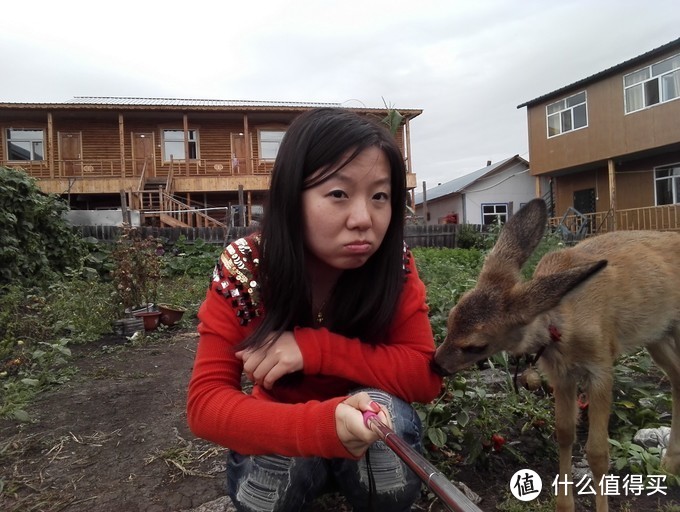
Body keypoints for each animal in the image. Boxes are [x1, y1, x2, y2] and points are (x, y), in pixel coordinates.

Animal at [432, 199, 676, 512]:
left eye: (476, 346)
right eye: (450, 319)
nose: (436, 364)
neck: (565, 326)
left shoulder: (601, 365)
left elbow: (597, 453)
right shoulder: (561, 375)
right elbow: (563, 433)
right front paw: (564, 504)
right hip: (657, 335)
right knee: (676, 377)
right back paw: (670, 465)